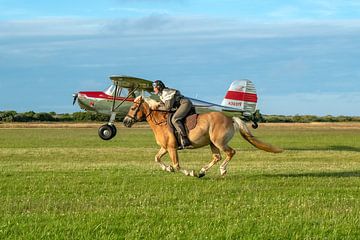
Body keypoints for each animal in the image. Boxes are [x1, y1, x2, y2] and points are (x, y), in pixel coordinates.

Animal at [123, 96, 282, 177]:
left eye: (133, 107)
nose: (125, 121)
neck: (160, 122)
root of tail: (230, 118)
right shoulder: (165, 147)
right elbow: (157, 158)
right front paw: (167, 169)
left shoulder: (172, 148)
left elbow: (177, 165)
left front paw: (189, 172)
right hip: (212, 143)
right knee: (217, 157)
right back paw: (202, 171)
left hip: (219, 142)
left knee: (230, 152)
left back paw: (221, 170)